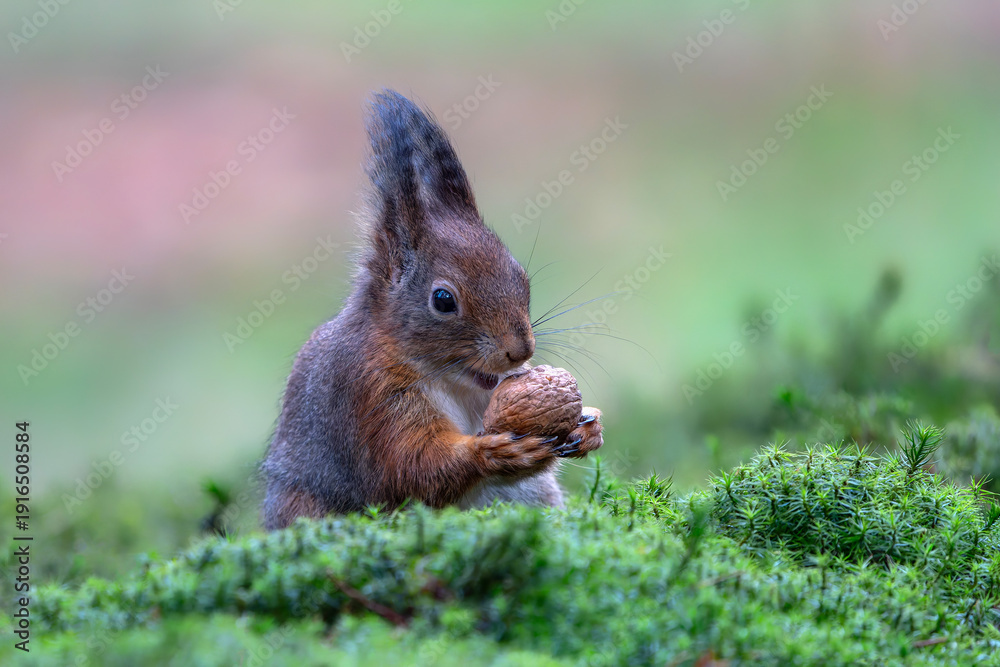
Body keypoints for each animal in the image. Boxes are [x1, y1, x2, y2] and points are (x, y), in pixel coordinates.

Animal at [261, 90, 603, 530]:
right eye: (443, 300)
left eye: (521, 276)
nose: (520, 351)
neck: (454, 381)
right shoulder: (368, 395)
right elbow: (411, 468)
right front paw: (495, 453)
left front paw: (588, 426)